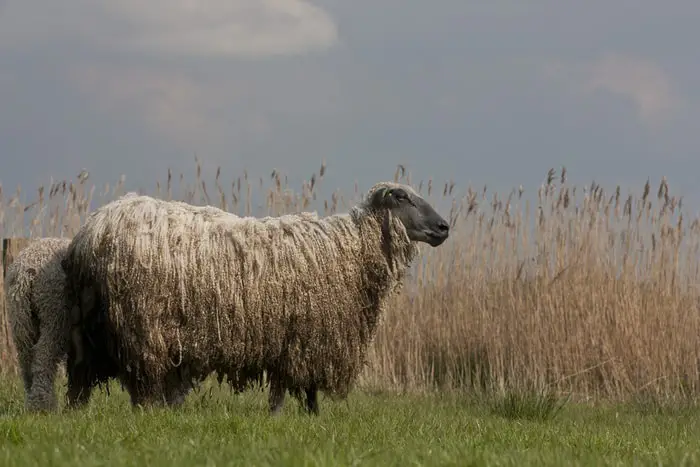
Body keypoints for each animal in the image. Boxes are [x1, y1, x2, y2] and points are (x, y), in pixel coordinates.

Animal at [63, 181, 452, 414]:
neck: (349, 249)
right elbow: (299, 389)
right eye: (402, 197)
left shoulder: (290, 338)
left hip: (96, 324)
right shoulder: (306, 336)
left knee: (84, 376)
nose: (444, 227)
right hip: (142, 325)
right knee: (142, 381)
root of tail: (92, 230)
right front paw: (296, 419)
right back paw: (148, 414)